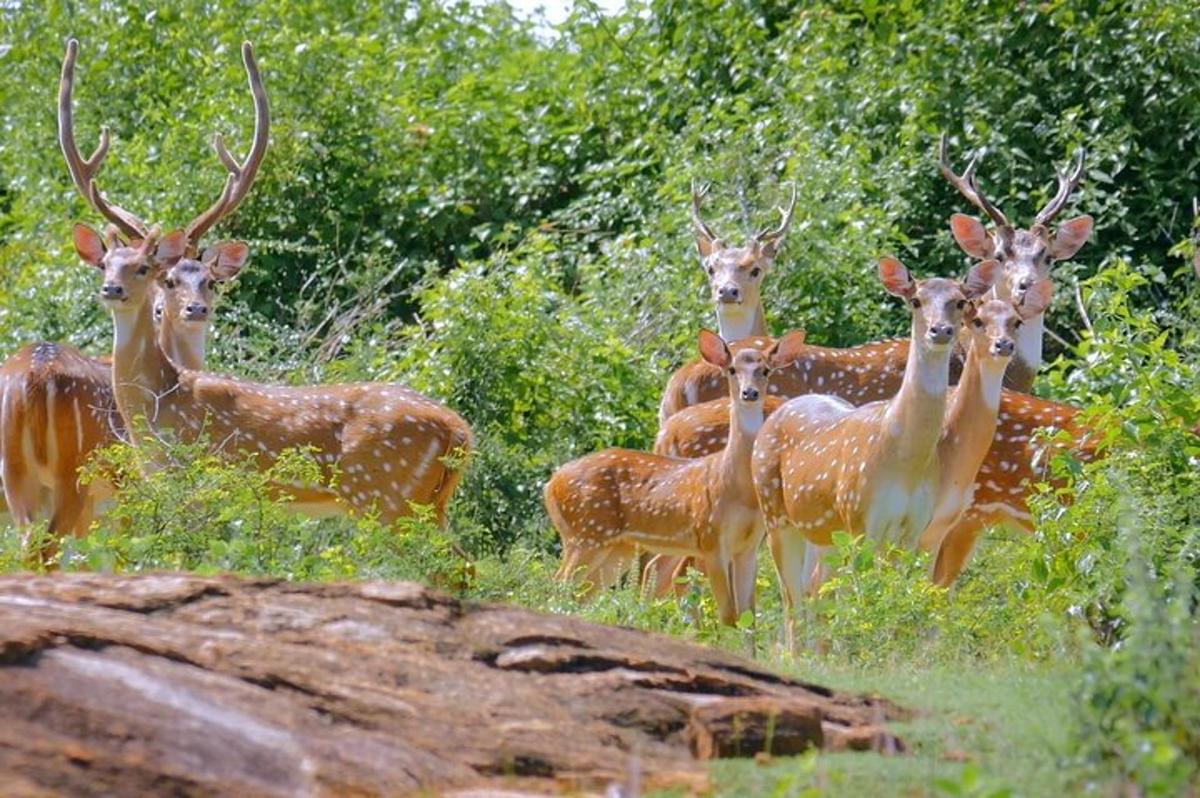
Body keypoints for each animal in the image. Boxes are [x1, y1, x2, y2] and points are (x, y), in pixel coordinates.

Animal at [0, 39, 253, 559]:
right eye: (166, 281)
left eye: (211, 281)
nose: (195, 310)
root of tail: (32, 379)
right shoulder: (137, 497)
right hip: (73, 482)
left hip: (18, 482)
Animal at [544, 328, 806, 624]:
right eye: (731, 369)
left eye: (765, 370)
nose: (748, 392)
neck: (735, 486)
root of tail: (551, 485)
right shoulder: (711, 539)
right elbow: (729, 616)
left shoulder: (747, 546)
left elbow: (747, 615)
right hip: (584, 535)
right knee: (558, 587)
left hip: (615, 548)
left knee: (583, 594)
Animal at [753, 258, 998, 643]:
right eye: (915, 300)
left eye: (960, 301)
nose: (940, 331)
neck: (905, 462)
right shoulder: (861, 519)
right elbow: (865, 601)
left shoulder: (912, 528)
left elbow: (898, 602)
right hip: (775, 513)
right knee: (792, 603)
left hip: (824, 533)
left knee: (814, 594)